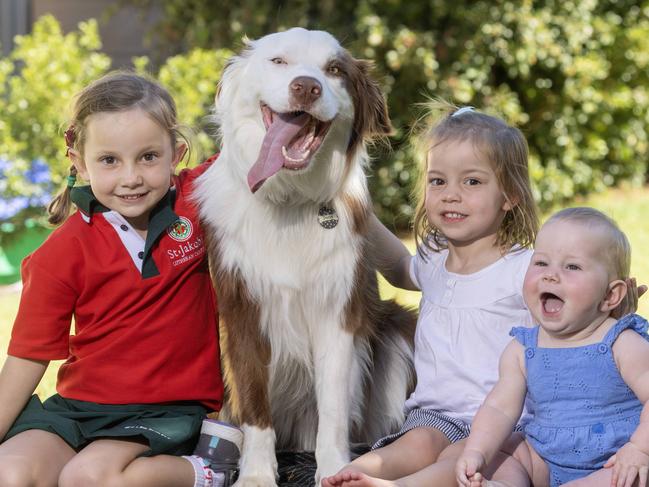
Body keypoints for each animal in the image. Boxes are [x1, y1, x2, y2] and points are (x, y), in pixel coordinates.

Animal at [194, 28, 416, 486]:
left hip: (400, 327)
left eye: (333, 70)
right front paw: (256, 474)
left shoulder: (338, 312)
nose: (306, 87)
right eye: (278, 61)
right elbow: (254, 406)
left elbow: (332, 406)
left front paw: (333, 469)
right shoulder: (241, 311)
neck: (290, 200)